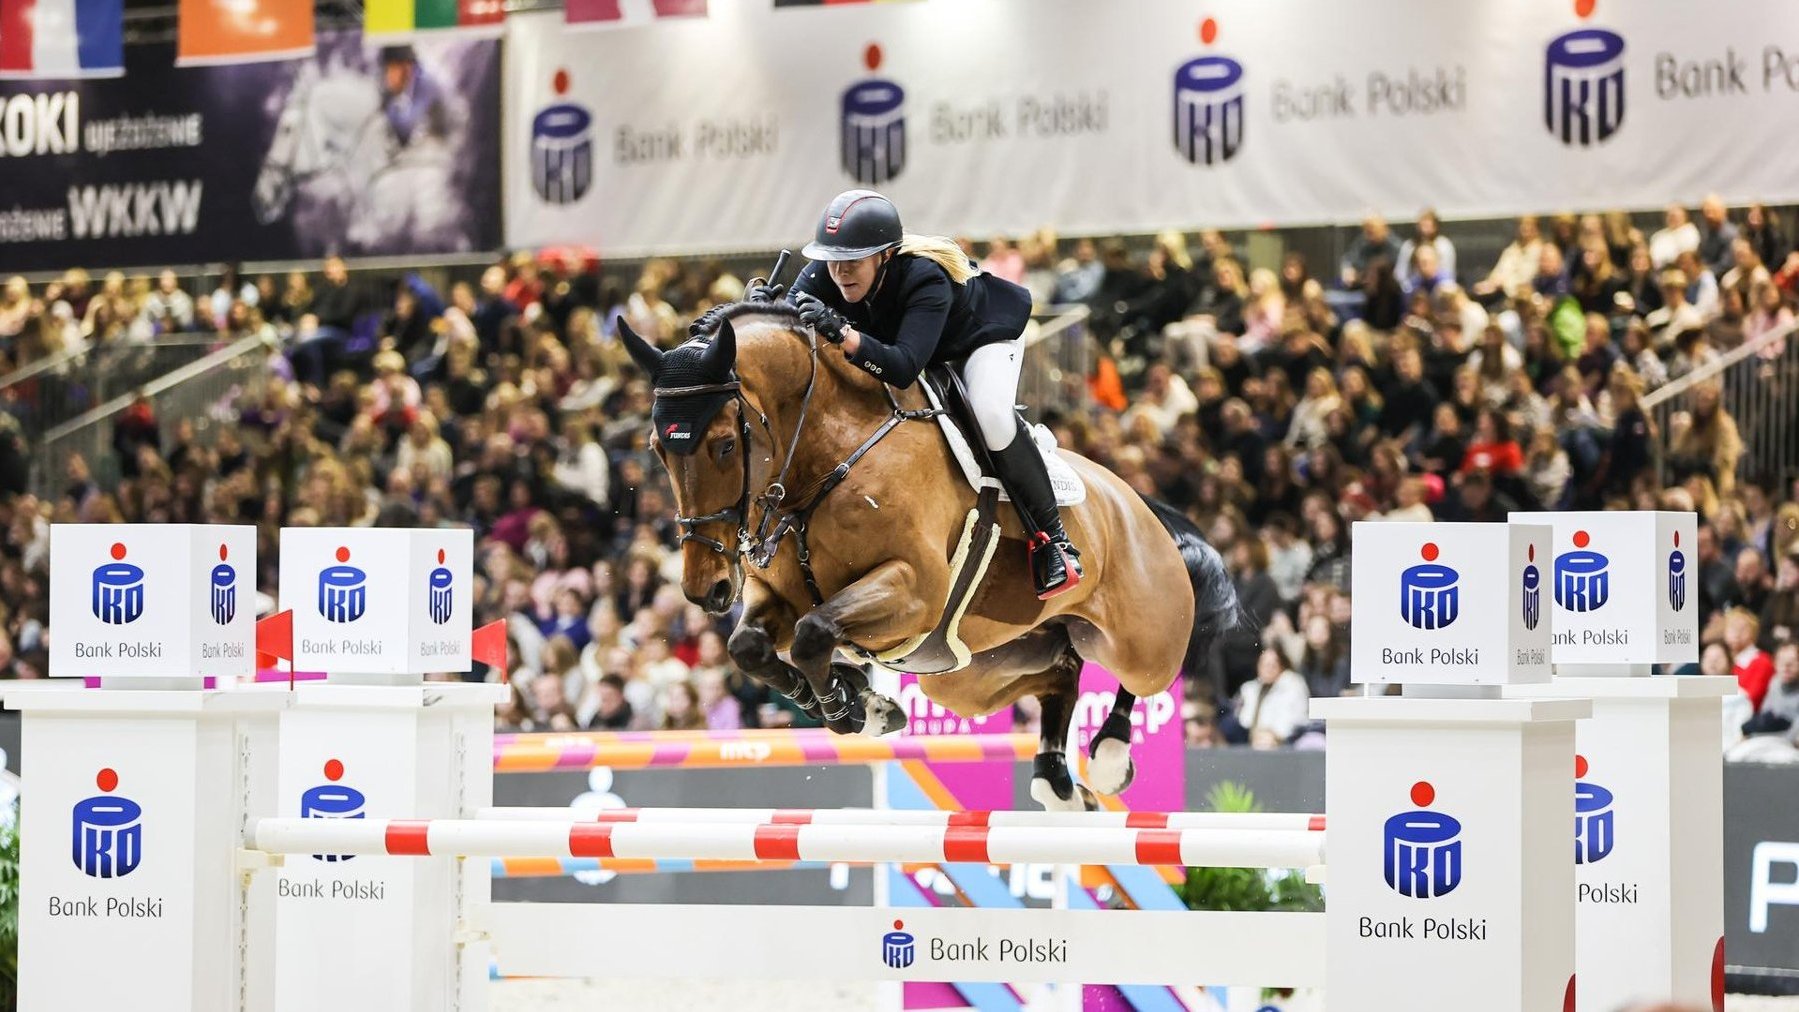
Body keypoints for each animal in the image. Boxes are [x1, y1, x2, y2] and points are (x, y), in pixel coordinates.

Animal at [618, 305, 1237, 812]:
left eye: (724, 444)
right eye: (657, 448)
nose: (707, 589)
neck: (829, 453)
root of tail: (1140, 504)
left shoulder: (913, 590)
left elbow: (816, 632)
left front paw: (856, 708)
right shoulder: (781, 598)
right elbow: (751, 645)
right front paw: (857, 700)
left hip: (1141, 639)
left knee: (1141, 677)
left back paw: (1106, 759)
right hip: (973, 672)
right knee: (1060, 671)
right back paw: (1057, 782)